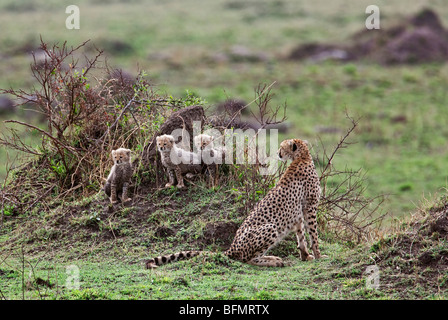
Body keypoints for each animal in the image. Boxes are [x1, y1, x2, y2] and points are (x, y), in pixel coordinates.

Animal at [146, 138, 322, 268]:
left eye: (282, 147)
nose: (278, 153)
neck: (302, 157)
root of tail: (232, 247)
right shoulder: (310, 206)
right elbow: (313, 234)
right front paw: (319, 255)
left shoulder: (300, 211)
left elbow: (301, 236)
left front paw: (306, 256)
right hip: (270, 228)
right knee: (247, 259)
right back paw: (273, 260)